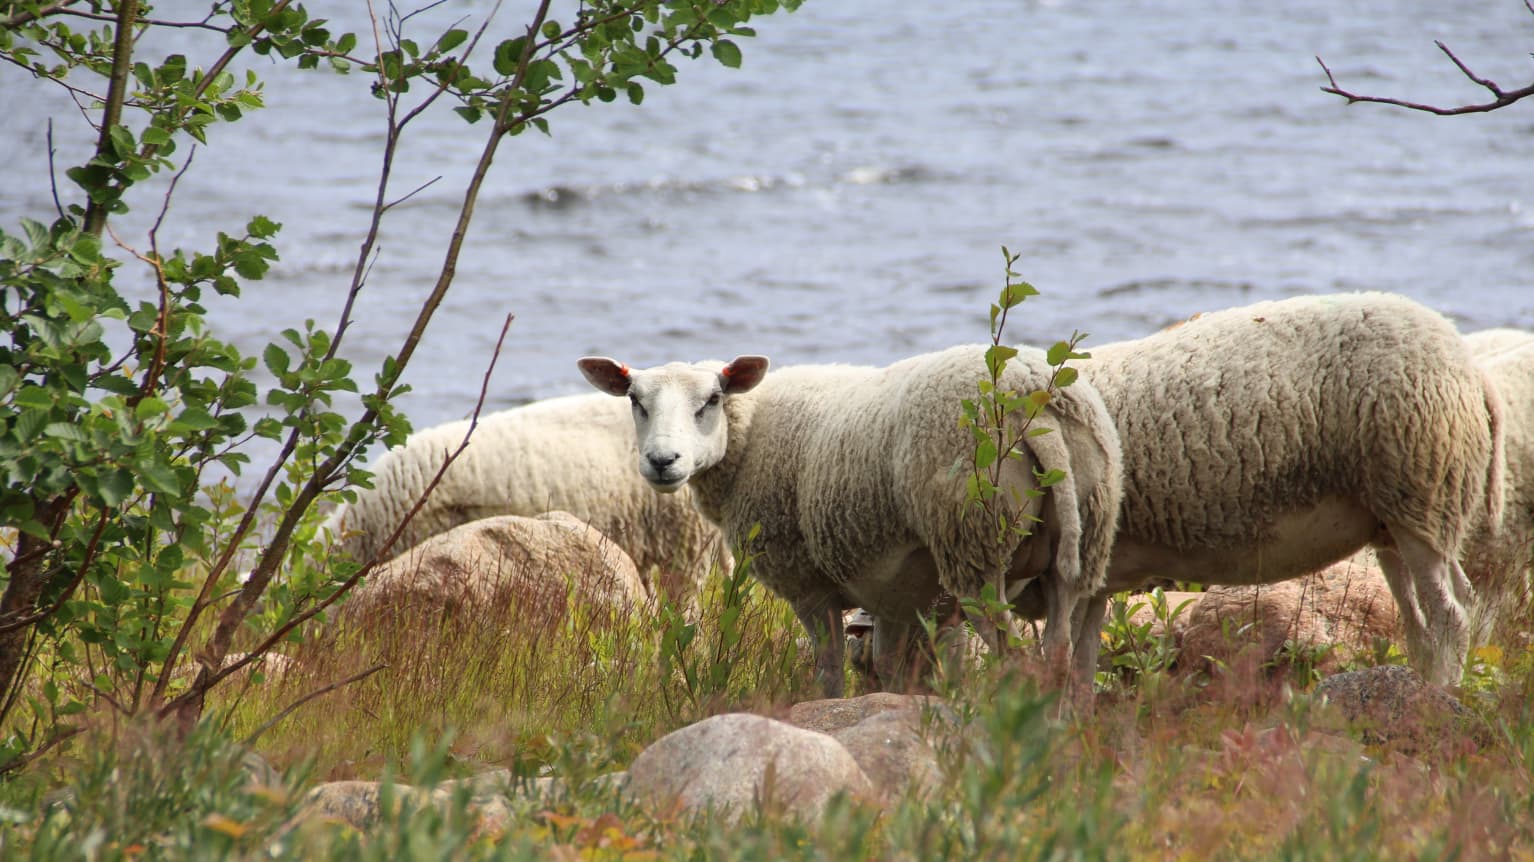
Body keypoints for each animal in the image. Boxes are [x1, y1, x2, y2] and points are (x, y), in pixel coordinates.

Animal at [579, 343, 1122, 699]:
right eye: (635, 401)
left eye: (712, 400)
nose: (662, 461)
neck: (748, 435)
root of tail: (1035, 396)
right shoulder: (897, 590)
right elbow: (892, 668)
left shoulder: (807, 584)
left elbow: (830, 670)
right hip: (1083, 539)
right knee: (1061, 657)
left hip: (972, 538)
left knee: (1021, 661)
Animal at [1018, 289, 1509, 684]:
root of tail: (1472, 368)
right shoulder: (1098, 577)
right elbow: (1080, 663)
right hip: (1398, 516)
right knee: (1435, 614)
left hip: (1420, 485)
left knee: (1450, 616)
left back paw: (1440, 693)